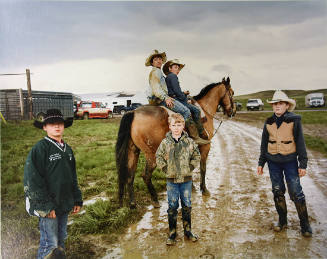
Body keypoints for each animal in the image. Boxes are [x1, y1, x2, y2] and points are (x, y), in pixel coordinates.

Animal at [116, 76, 234, 207]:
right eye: (232, 93)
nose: (232, 112)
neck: (204, 110)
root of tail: (133, 113)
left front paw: (191, 188)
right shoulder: (205, 147)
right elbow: (203, 168)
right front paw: (204, 189)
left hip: (133, 151)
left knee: (130, 175)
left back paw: (132, 203)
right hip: (151, 155)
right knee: (145, 175)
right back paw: (155, 199)